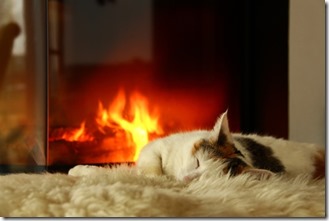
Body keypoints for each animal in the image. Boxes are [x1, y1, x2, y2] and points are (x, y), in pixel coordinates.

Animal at [135, 110, 322, 181]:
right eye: (197, 162)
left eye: (209, 179)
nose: (188, 178)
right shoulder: (157, 146)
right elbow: (153, 162)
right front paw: (156, 178)